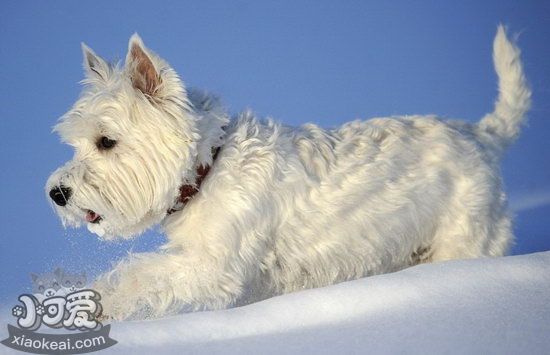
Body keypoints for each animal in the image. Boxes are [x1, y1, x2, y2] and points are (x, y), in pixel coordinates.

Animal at [46, 25, 532, 320]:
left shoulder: (213, 266)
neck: (208, 169)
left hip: (464, 237)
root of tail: (482, 135)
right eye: (76, 143)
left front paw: (90, 304)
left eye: (106, 141)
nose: (57, 193)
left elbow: (140, 272)